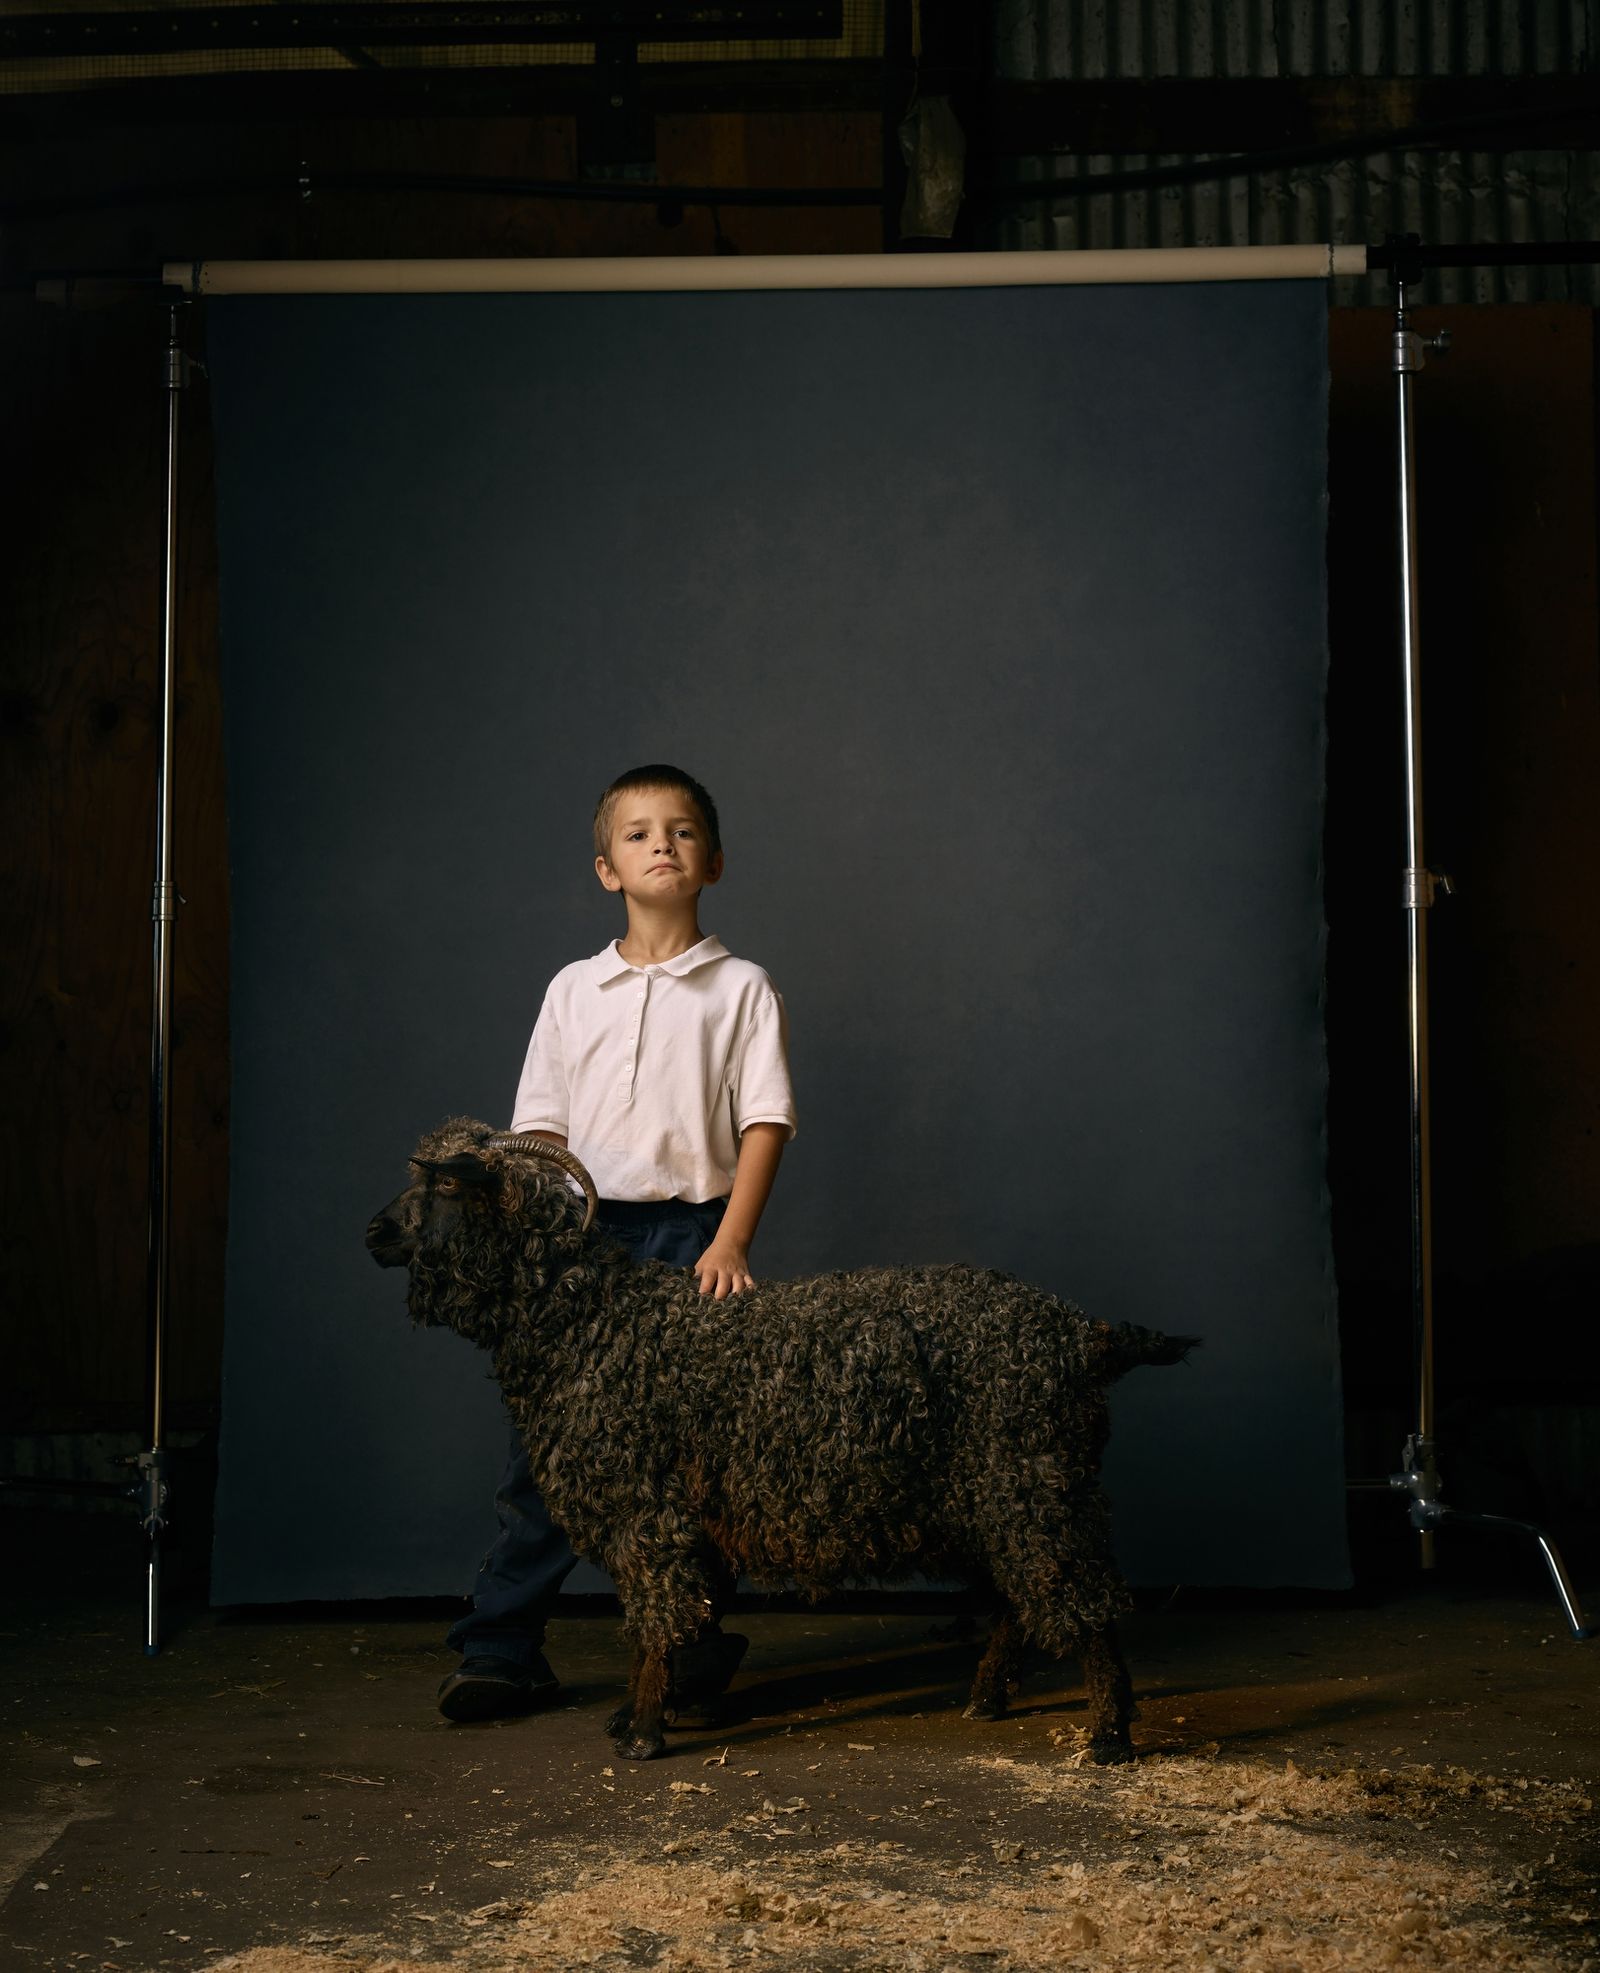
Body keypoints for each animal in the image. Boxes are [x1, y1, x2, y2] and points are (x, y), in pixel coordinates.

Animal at [368, 1120, 1191, 1767]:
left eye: (448, 1183)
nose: (374, 1232)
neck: (595, 1320)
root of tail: (1083, 1333)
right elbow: (652, 1619)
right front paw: (640, 1712)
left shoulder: (647, 1509)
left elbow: (656, 1618)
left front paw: (641, 1731)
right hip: (991, 1496)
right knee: (1025, 1599)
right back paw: (987, 1698)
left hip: (1036, 1482)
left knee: (1083, 1595)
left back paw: (1110, 1735)